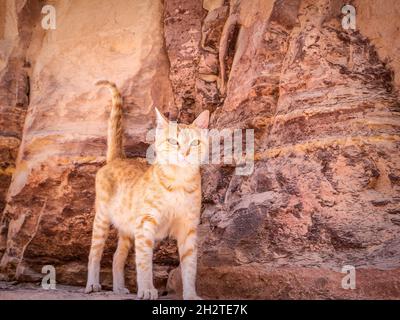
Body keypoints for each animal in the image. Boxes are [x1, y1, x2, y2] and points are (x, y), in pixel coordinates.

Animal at [85, 80, 209, 300]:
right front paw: (146, 289)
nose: (185, 153)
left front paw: (190, 294)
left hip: (127, 229)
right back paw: (92, 284)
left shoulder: (188, 228)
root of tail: (118, 158)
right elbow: (144, 263)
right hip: (102, 219)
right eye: (173, 141)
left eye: (195, 143)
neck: (178, 182)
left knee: (117, 256)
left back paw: (118, 288)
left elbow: (189, 266)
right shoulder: (145, 225)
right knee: (95, 253)